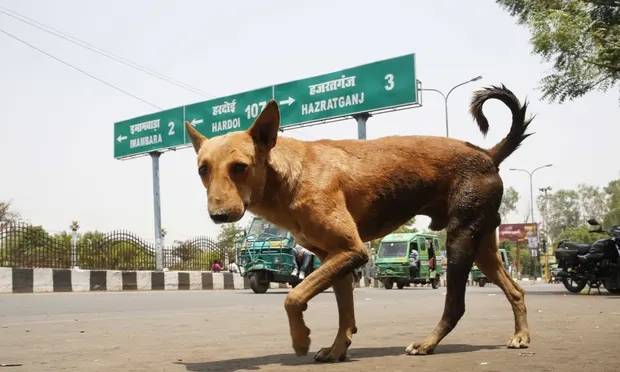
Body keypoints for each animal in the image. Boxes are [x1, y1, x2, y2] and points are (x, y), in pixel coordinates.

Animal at [185, 85, 532, 362]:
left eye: (240, 167)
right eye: (203, 169)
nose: (218, 216)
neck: (289, 176)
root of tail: (488, 154)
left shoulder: (352, 251)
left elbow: (293, 297)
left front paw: (301, 340)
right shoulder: (334, 257)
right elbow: (344, 314)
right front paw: (337, 349)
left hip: (460, 240)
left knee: (455, 305)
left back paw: (428, 343)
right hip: (481, 246)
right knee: (515, 290)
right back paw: (521, 335)